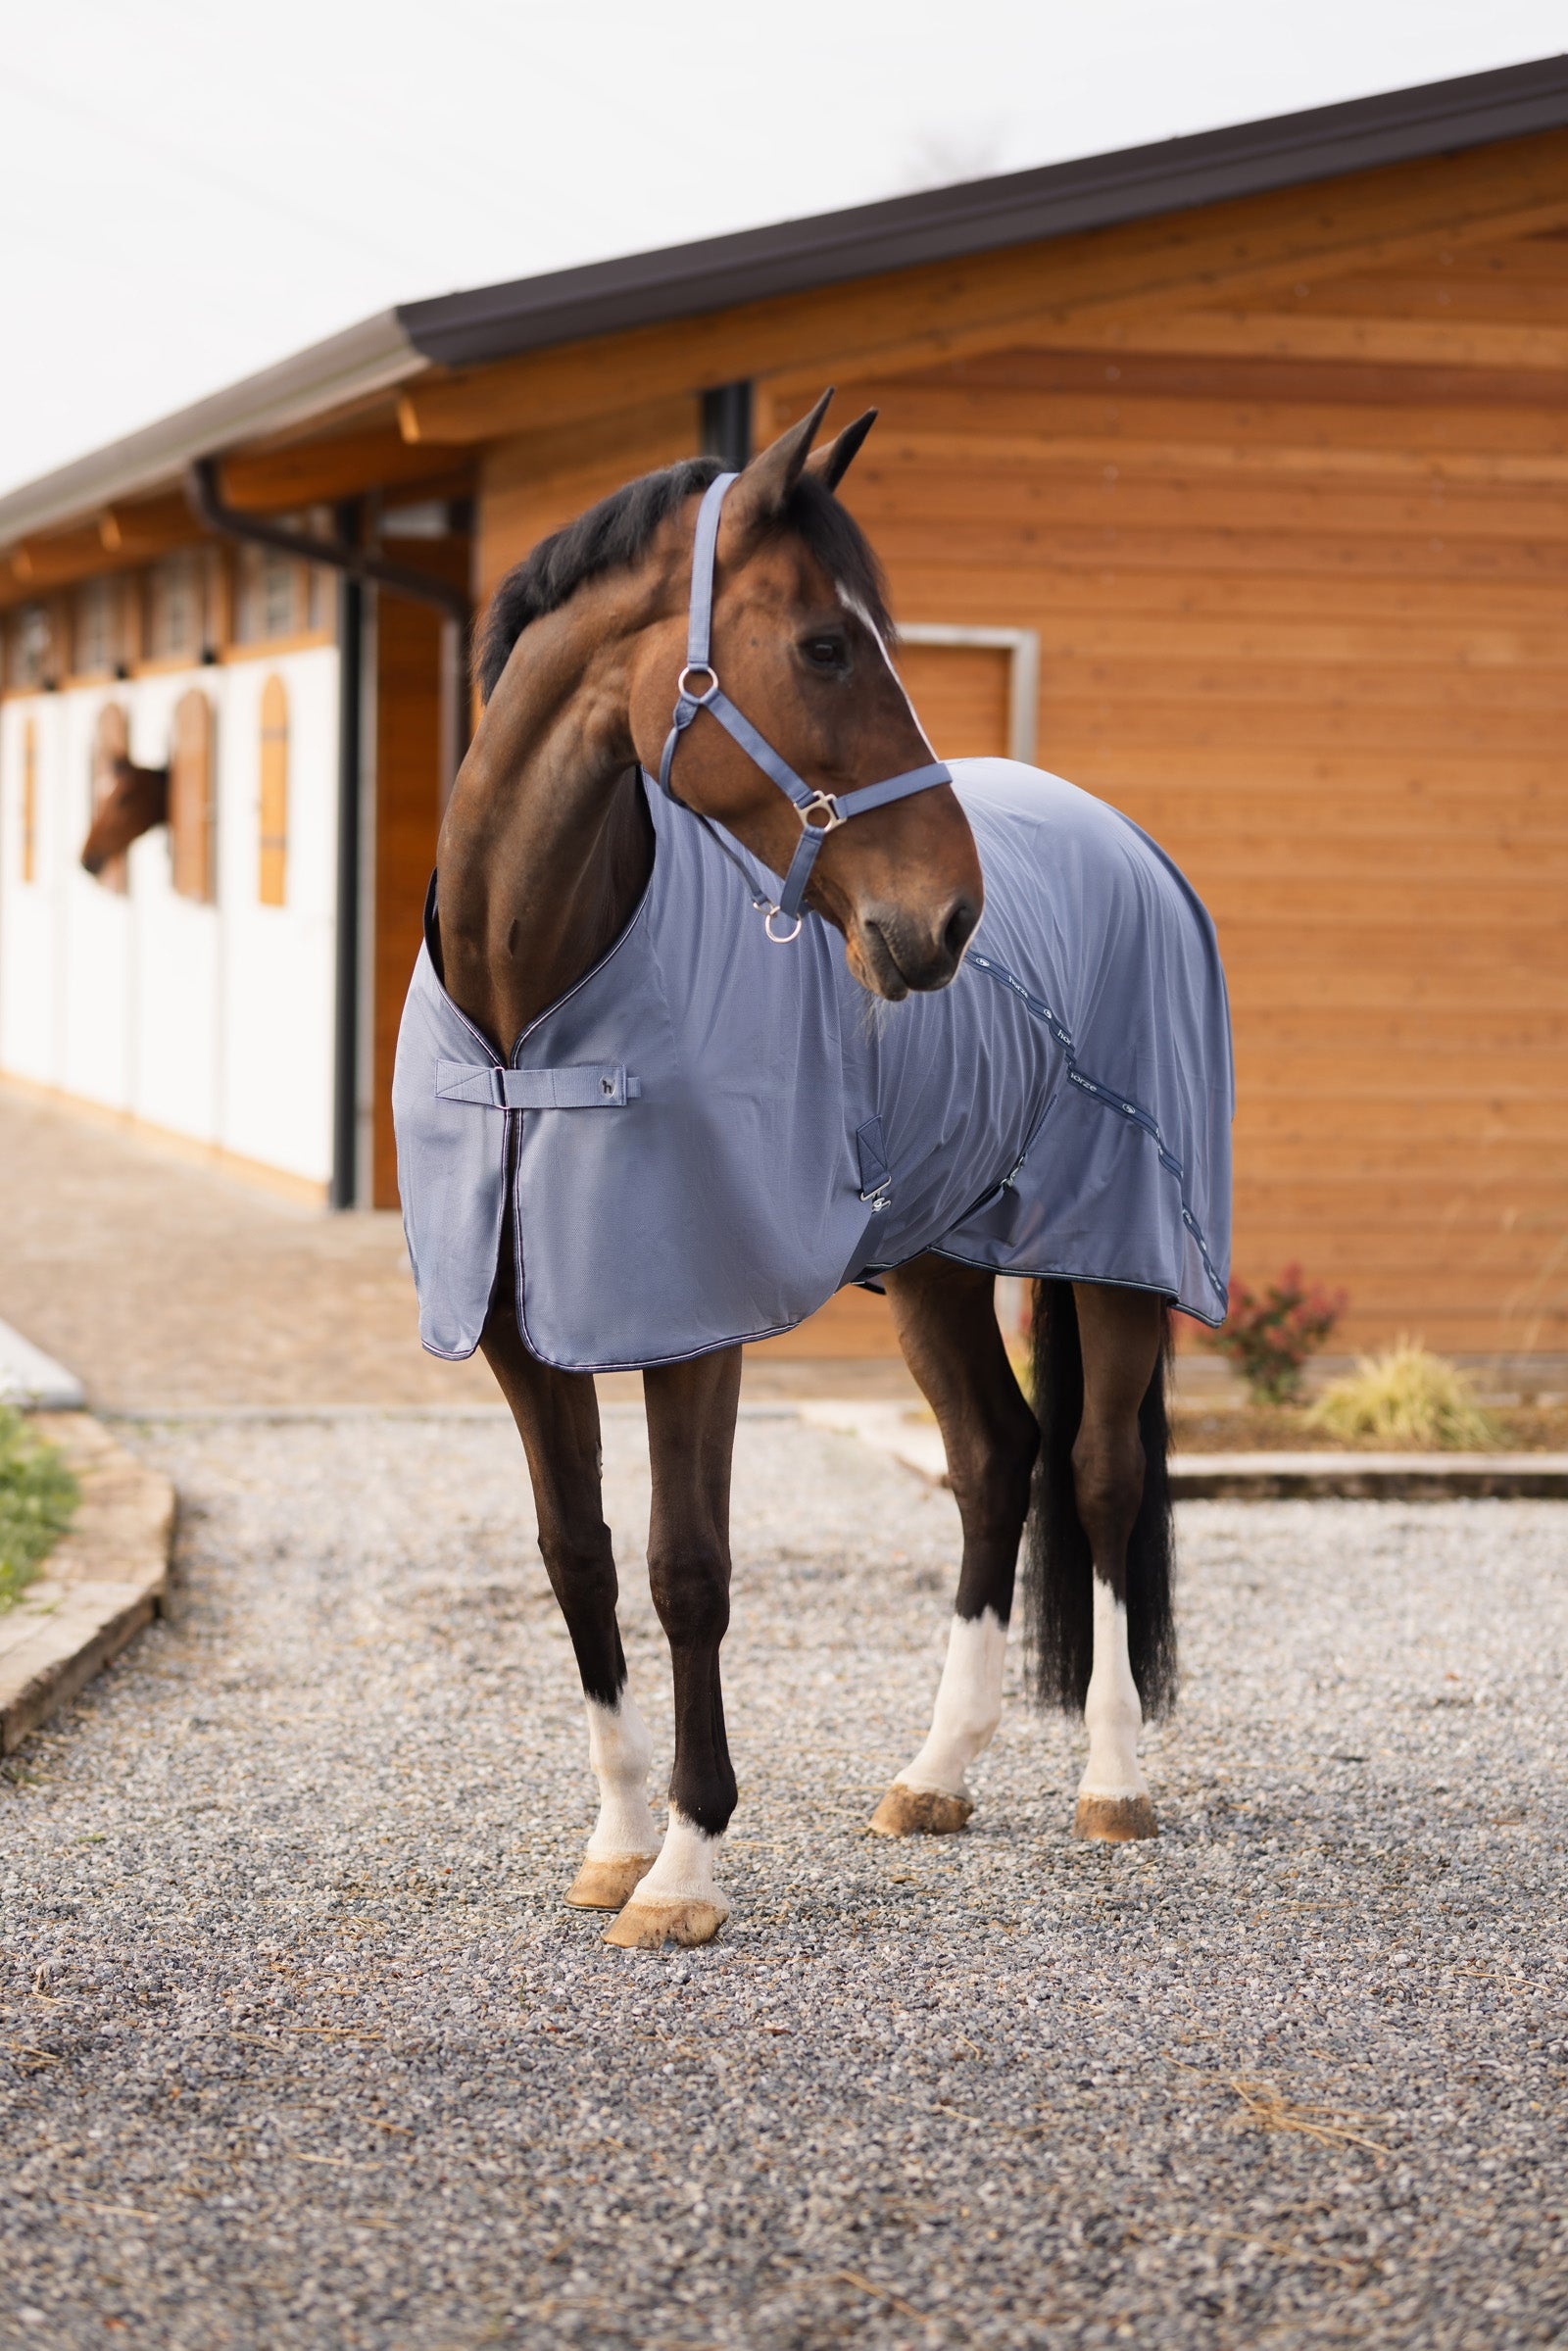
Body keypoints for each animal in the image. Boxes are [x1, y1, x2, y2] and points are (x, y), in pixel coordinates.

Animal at [395, 392, 1231, 1951]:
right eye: (828, 645)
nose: (948, 917)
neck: (533, 1007)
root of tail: (1126, 840)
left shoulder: (694, 1323)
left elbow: (688, 1569)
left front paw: (683, 1868)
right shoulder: (521, 1333)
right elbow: (576, 1551)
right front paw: (614, 1840)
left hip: (1121, 1250)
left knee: (1096, 1477)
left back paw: (1110, 1782)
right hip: (942, 1261)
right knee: (994, 1458)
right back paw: (937, 1772)